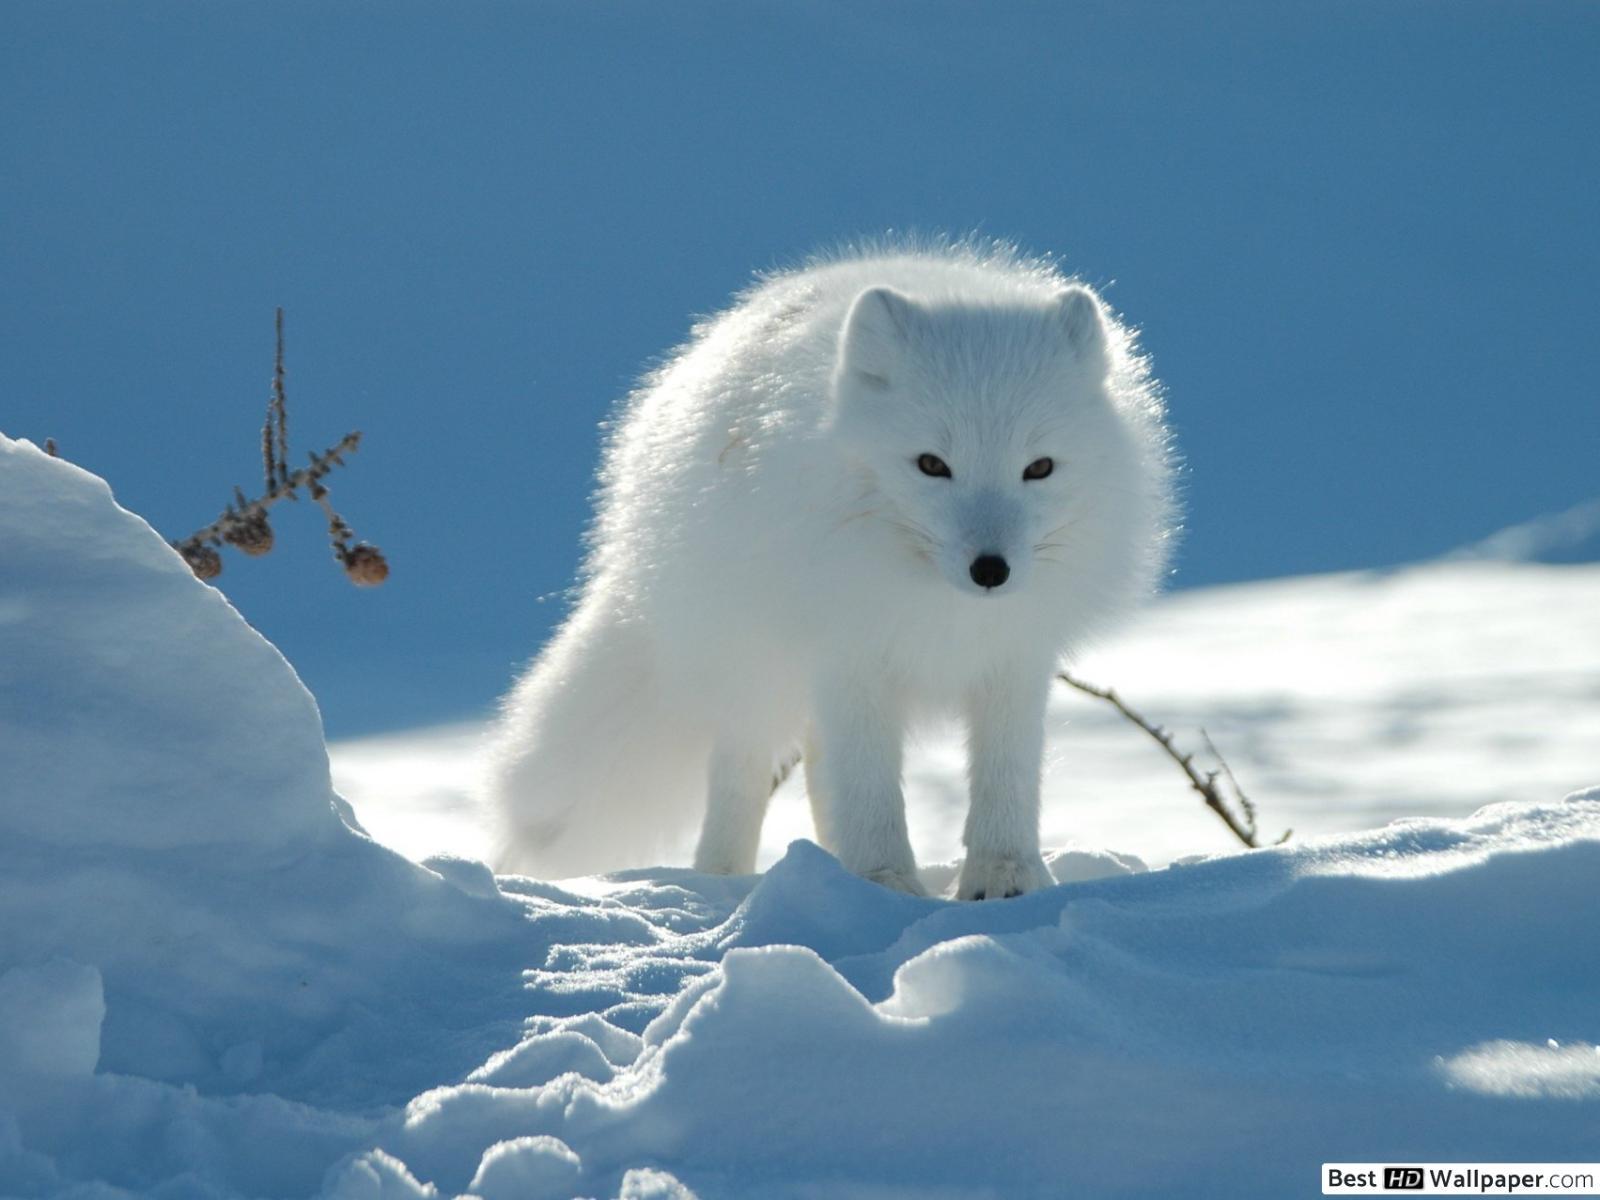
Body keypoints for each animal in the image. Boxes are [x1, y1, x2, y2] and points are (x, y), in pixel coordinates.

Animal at [487, 241, 1175, 899]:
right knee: (743, 772)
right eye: (932, 464)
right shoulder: (849, 652)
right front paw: (884, 884)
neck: (939, 605)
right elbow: (869, 788)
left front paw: (1005, 878)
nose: (991, 571)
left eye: (1039, 468)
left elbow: (1007, 777)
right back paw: (723, 881)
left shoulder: (1014, 658)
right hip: (751, 664)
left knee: (819, 770)